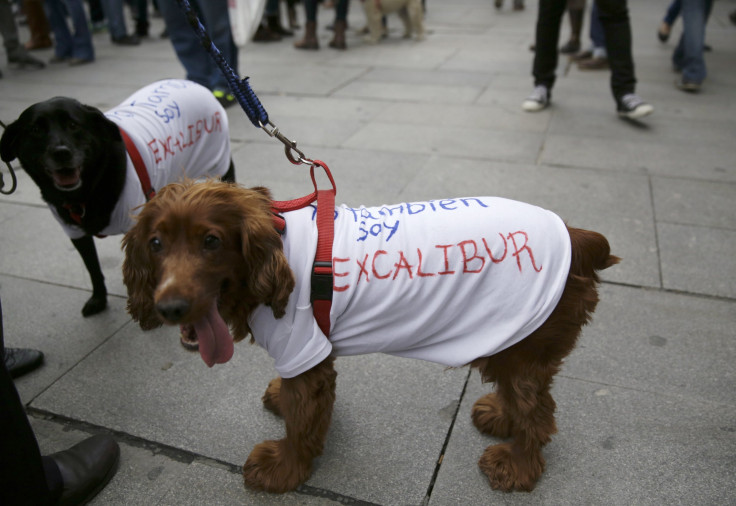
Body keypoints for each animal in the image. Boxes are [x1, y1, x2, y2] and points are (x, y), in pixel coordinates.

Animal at [0, 79, 236, 316]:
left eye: (74, 125)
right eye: (35, 130)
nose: (61, 152)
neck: (88, 191)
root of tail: (193, 83)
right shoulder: (76, 233)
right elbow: (93, 268)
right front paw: (99, 298)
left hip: (219, 165)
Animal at [123, 181, 620, 494]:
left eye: (211, 241)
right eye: (155, 243)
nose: (170, 308)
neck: (275, 254)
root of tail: (578, 236)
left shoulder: (302, 347)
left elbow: (301, 420)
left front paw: (284, 469)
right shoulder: (309, 354)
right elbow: (301, 405)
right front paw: (281, 404)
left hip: (524, 344)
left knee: (538, 414)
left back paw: (517, 467)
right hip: (512, 339)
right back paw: (500, 415)